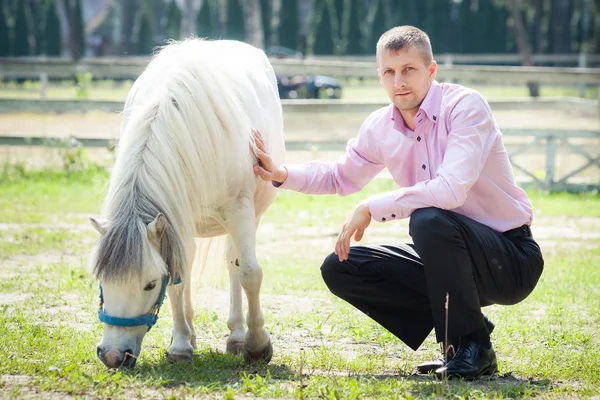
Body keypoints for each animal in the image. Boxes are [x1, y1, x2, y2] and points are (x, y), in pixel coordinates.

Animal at [89, 39, 286, 368]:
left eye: (150, 284)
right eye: (102, 279)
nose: (114, 355)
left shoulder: (240, 210)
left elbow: (250, 273)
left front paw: (258, 345)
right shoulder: (174, 218)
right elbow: (178, 279)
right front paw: (181, 345)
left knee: (234, 264)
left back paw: (237, 335)